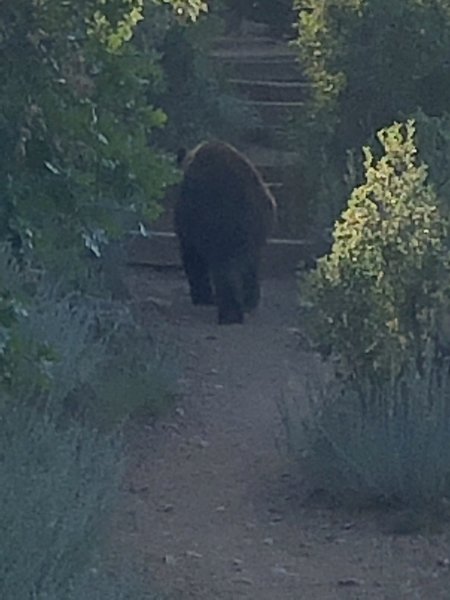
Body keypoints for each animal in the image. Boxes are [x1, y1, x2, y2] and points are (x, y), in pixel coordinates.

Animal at [174, 141, 276, 326]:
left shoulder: (189, 219)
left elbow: (192, 256)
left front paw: (202, 296)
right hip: (259, 223)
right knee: (251, 264)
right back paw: (249, 301)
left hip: (220, 221)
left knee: (224, 268)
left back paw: (230, 314)